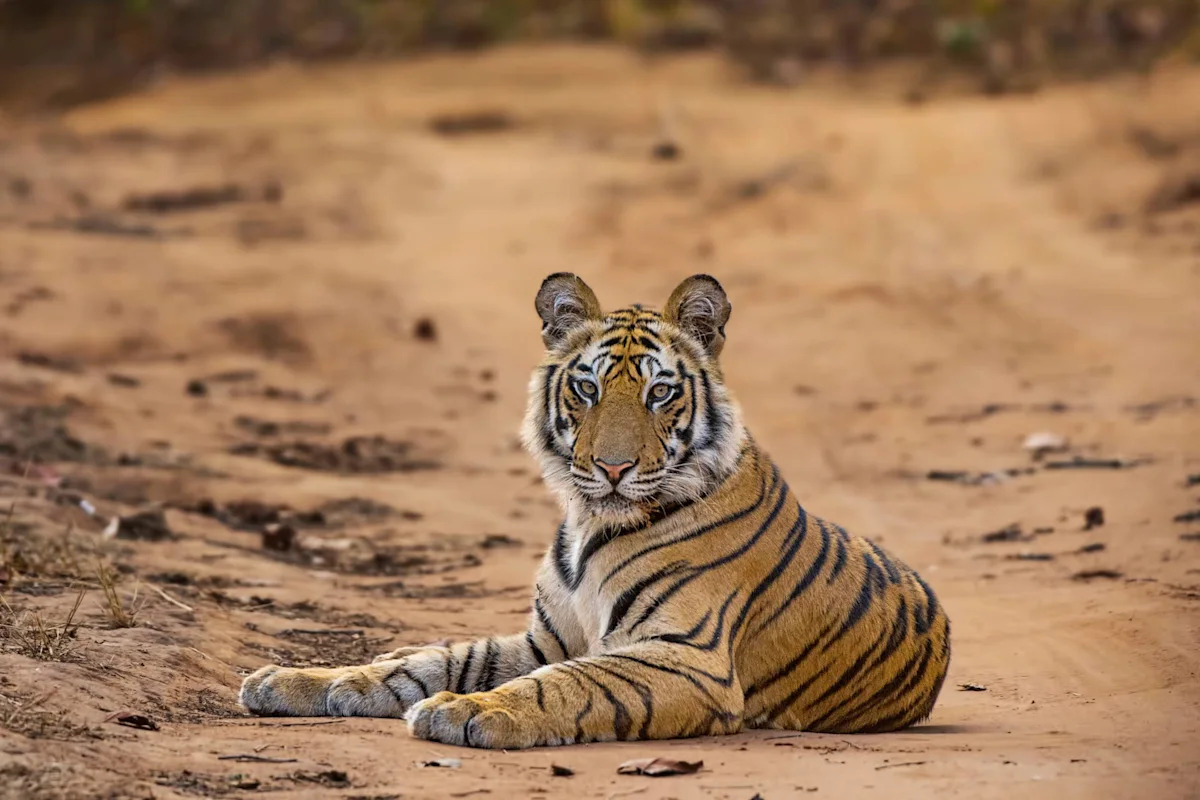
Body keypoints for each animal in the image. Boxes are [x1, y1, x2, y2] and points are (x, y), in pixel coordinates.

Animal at [238, 273, 951, 748]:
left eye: (660, 393)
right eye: (587, 388)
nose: (612, 469)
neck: (591, 525)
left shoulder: (685, 656)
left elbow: (569, 682)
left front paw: (468, 711)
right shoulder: (544, 638)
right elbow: (435, 662)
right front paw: (296, 681)